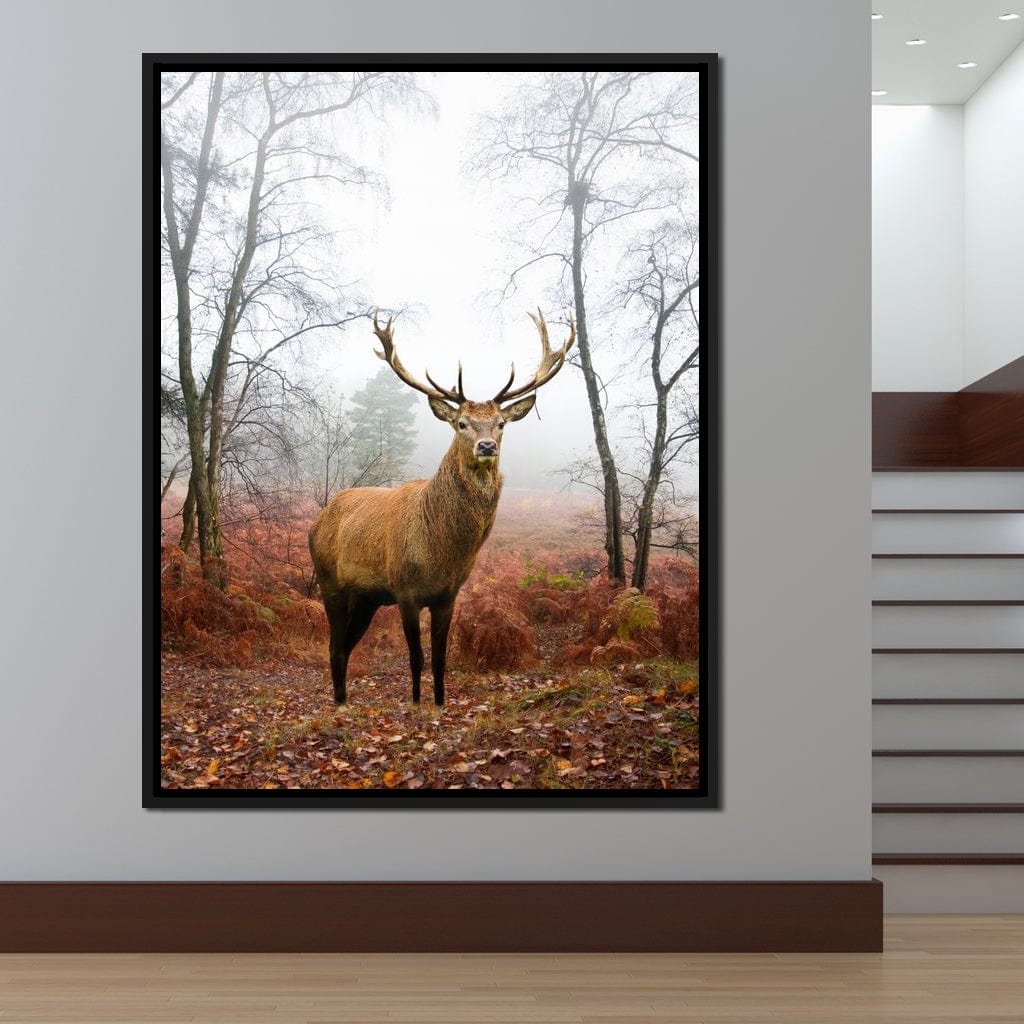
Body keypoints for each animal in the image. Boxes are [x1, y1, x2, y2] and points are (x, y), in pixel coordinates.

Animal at [309, 309, 575, 706]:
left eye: (500, 424)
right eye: (461, 423)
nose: (486, 446)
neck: (441, 550)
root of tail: (317, 521)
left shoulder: (448, 595)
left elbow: (440, 659)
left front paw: (438, 703)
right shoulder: (404, 590)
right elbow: (416, 658)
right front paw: (417, 703)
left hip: (367, 598)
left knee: (345, 645)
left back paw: (343, 700)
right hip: (330, 583)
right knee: (334, 646)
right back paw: (339, 704)